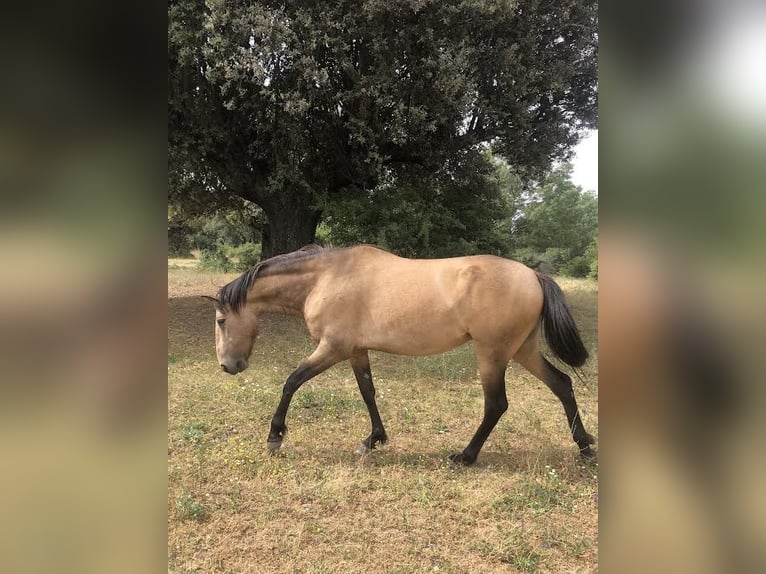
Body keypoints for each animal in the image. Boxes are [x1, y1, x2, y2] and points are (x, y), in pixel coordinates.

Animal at [207, 245, 596, 466]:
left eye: (222, 320)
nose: (228, 366)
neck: (325, 277)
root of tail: (534, 275)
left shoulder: (332, 348)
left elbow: (292, 382)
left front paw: (275, 436)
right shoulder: (356, 350)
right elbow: (368, 392)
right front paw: (373, 440)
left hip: (493, 353)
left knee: (496, 404)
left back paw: (465, 456)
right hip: (522, 350)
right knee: (562, 384)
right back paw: (585, 447)